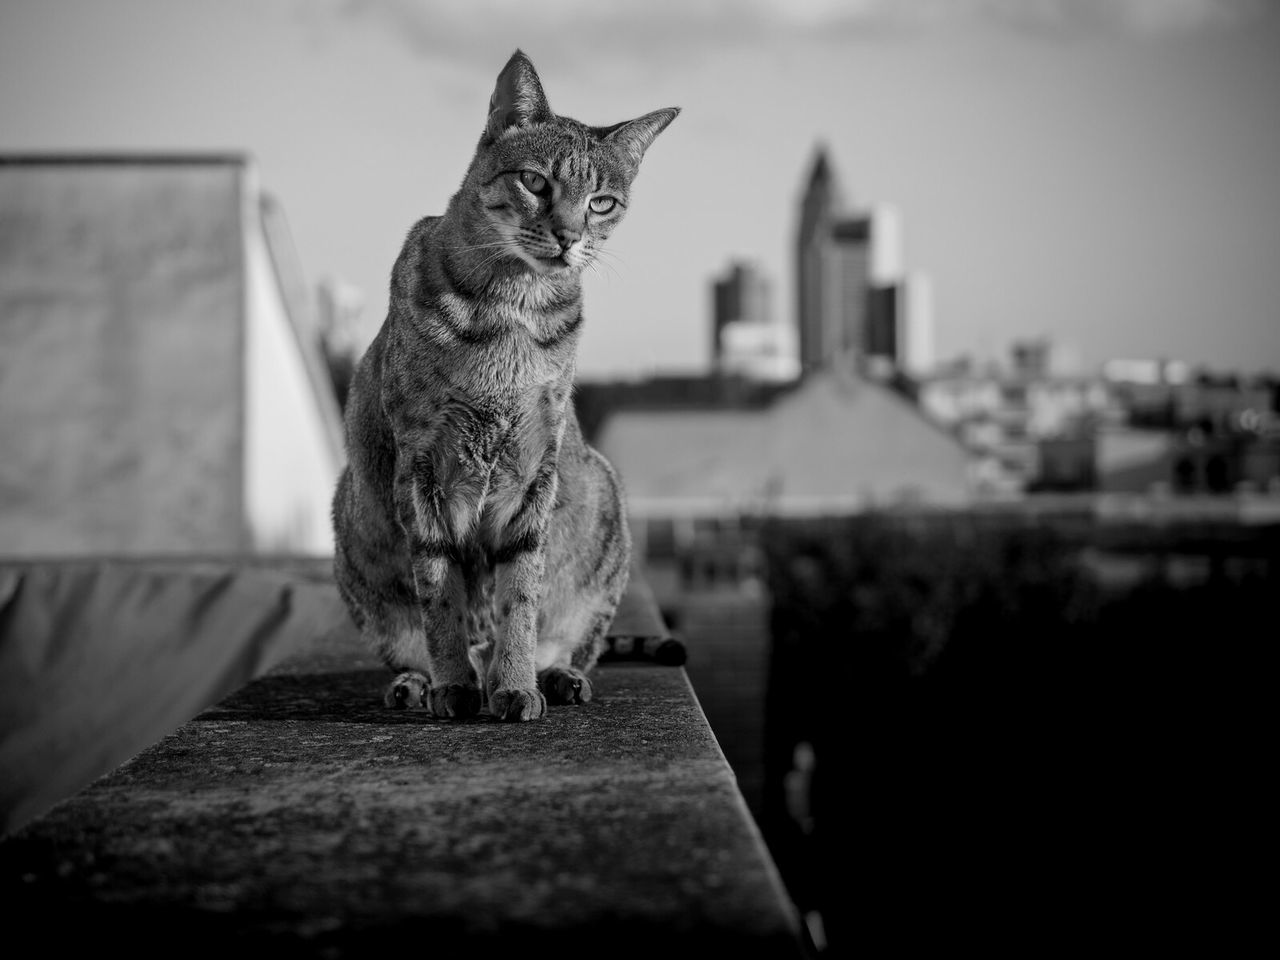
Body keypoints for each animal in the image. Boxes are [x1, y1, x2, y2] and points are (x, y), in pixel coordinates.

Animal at [330, 47, 680, 721]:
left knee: (569, 641)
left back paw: (555, 676)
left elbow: (520, 593)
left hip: (603, 507)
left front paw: (514, 684)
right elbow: (440, 596)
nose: (569, 236)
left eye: (602, 202)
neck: (512, 310)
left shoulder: (536, 464)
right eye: (536, 182)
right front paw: (454, 685)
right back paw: (419, 683)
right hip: (353, 521)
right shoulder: (421, 463)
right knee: (414, 636)